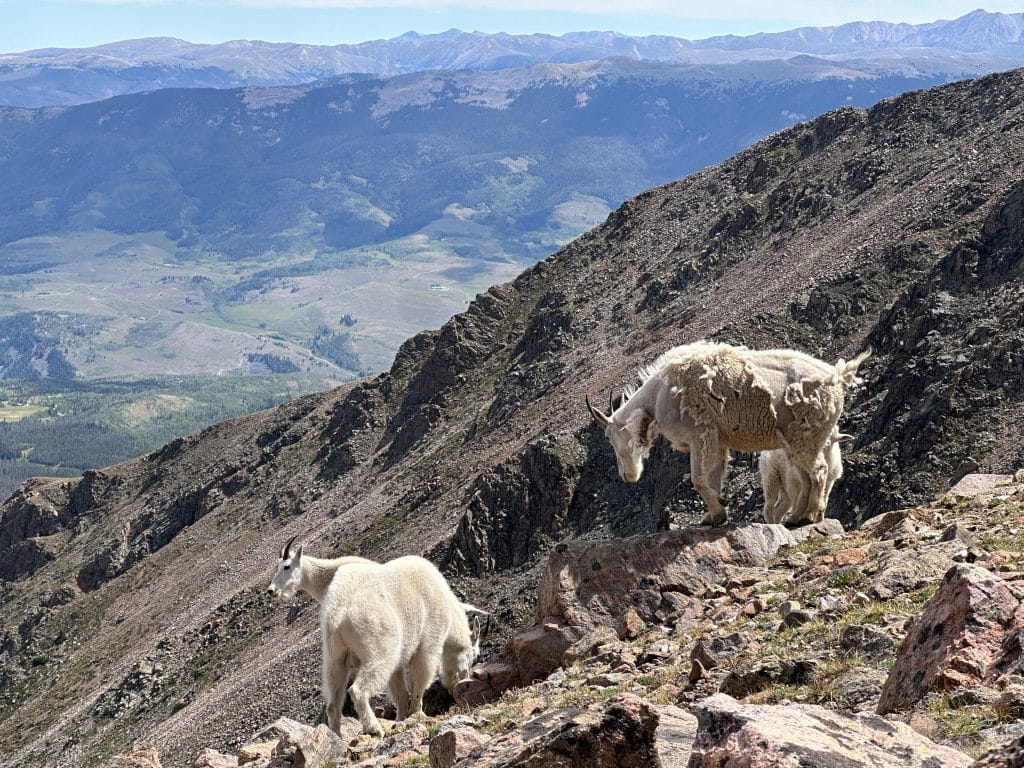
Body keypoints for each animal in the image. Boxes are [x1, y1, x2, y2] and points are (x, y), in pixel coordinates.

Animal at [268, 536, 483, 737]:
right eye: (475, 655)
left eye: (286, 566)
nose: (271, 591)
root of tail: (338, 612)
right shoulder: (429, 643)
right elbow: (420, 679)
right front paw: (418, 714)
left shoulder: (399, 659)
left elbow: (400, 691)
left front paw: (401, 718)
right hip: (379, 645)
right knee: (358, 689)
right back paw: (374, 728)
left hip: (334, 653)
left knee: (333, 698)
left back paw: (337, 736)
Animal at [589, 344, 868, 528]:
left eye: (609, 437)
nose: (627, 475)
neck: (657, 395)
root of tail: (838, 377)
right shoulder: (717, 440)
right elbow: (713, 476)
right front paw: (715, 515)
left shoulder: (701, 434)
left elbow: (699, 479)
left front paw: (718, 509)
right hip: (796, 441)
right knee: (804, 477)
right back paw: (796, 517)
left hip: (806, 435)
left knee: (818, 471)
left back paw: (808, 515)